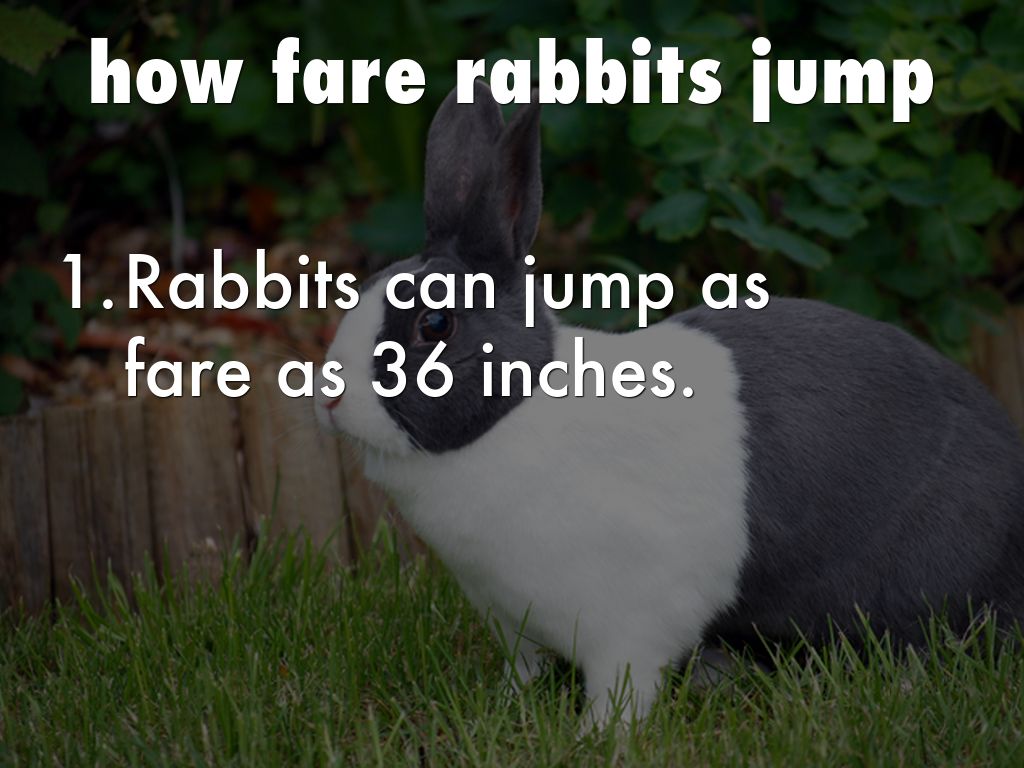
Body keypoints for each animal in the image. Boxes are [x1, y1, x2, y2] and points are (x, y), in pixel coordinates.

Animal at [315, 80, 1024, 725]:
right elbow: (524, 673)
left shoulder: (627, 622)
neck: (511, 416)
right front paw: (503, 708)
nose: (329, 397)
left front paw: (596, 739)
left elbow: (622, 689)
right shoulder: (512, 621)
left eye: (435, 325)